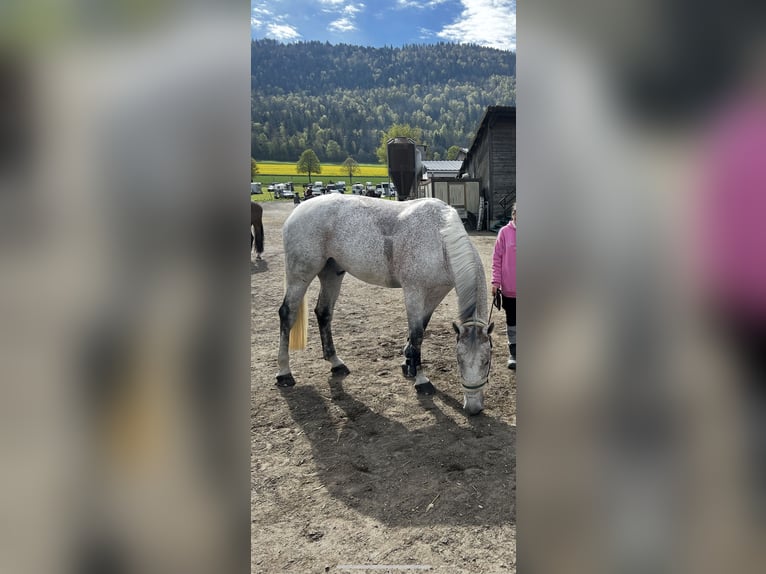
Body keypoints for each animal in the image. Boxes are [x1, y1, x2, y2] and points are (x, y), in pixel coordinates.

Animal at [280, 196, 496, 416]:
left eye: (487, 361)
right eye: (459, 360)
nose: (473, 408)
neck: (439, 239)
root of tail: (299, 210)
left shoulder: (436, 293)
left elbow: (421, 327)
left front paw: (408, 365)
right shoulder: (413, 292)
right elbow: (417, 334)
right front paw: (421, 381)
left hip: (331, 272)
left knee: (323, 312)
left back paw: (336, 363)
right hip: (300, 275)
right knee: (287, 314)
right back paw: (284, 374)